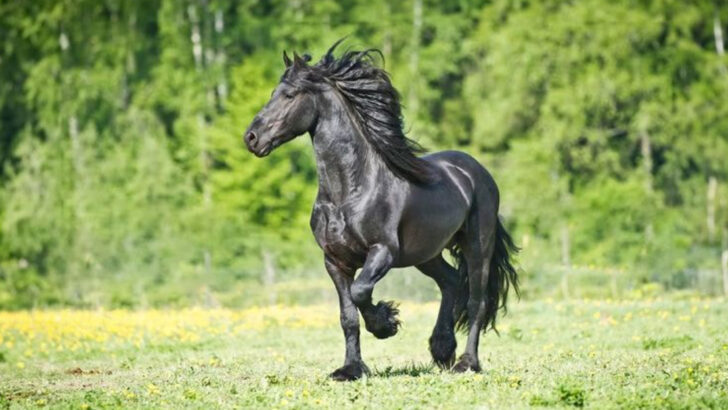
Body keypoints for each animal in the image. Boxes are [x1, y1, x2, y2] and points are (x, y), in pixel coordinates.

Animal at [243, 40, 519, 381]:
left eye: (290, 95)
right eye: (273, 92)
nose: (251, 138)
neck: (349, 192)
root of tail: (476, 171)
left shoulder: (383, 252)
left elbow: (361, 292)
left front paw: (386, 324)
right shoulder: (334, 261)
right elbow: (347, 316)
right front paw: (350, 369)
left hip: (477, 247)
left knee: (476, 301)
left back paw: (466, 363)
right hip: (426, 253)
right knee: (451, 281)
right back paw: (442, 349)